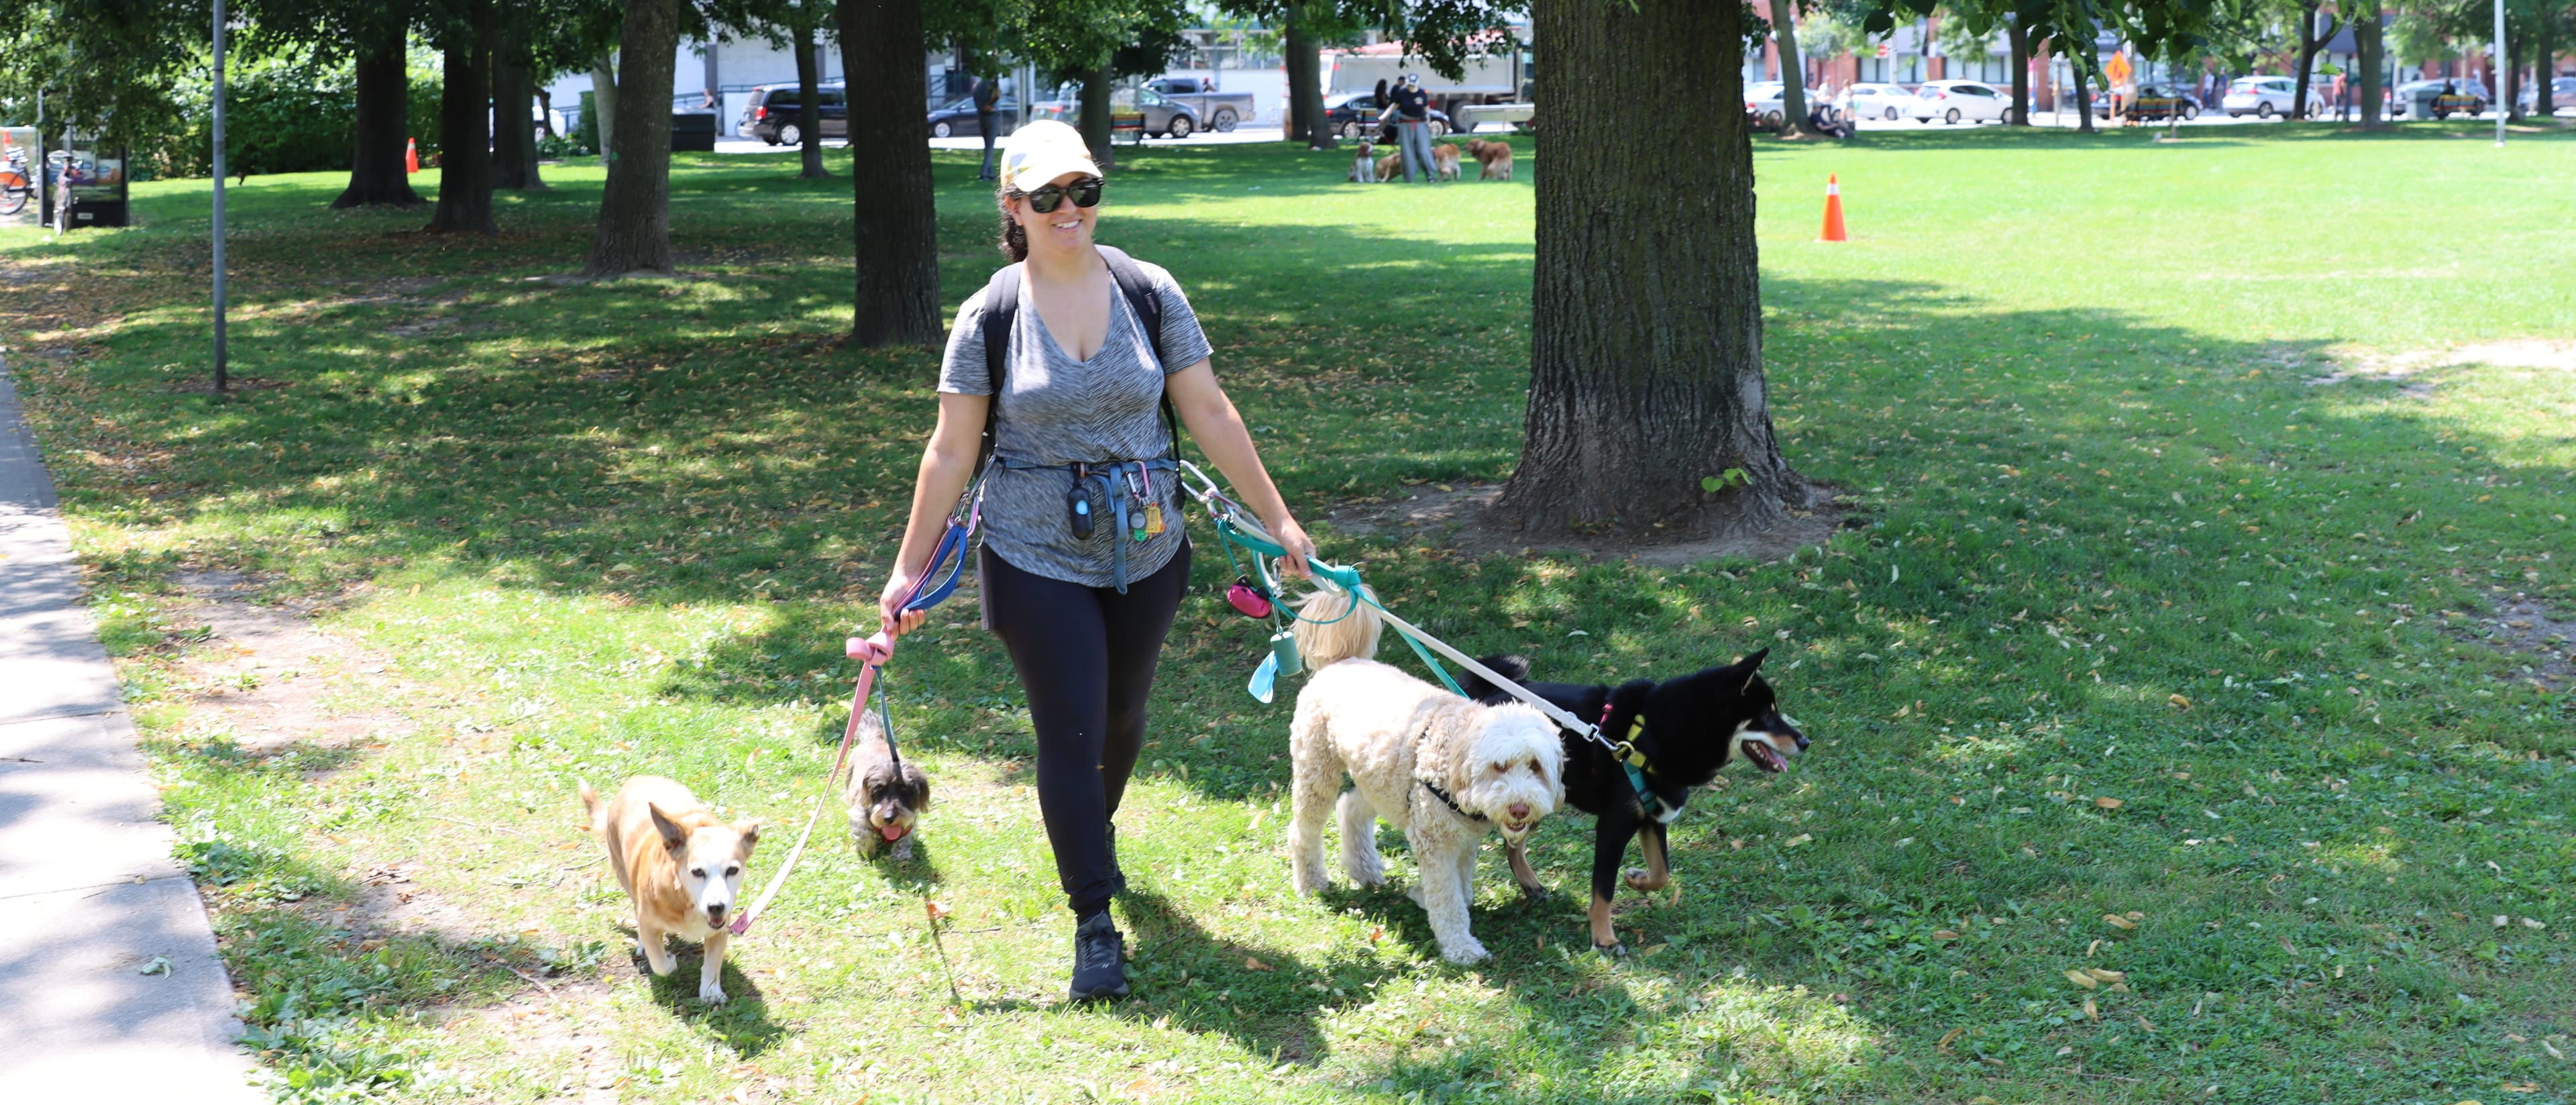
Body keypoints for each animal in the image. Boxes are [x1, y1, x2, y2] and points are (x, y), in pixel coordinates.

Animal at [590, 772, 762, 999]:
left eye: (732, 870)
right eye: (697, 872)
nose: (716, 907)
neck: (685, 899)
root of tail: (639, 778)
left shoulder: (721, 928)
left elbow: (712, 963)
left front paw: (710, 992)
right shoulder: (649, 923)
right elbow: (660, 963)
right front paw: (669, 961)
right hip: (625, 876)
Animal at [1277, 584, 1556, 958]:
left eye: (1536, 766)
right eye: (1500, 766)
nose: (1521, 808)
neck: (1452, 757)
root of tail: (1343, 660)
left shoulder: (1461, 839)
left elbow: (1460, 886)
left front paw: (1427, 899)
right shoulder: (1435, 841)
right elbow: (1448, 897)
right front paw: (1461, 947)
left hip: (1381, 780)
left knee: (1350, 808)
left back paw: (1364, 868)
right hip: (1317, 770)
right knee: (1304, 830)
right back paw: (1311, 882)